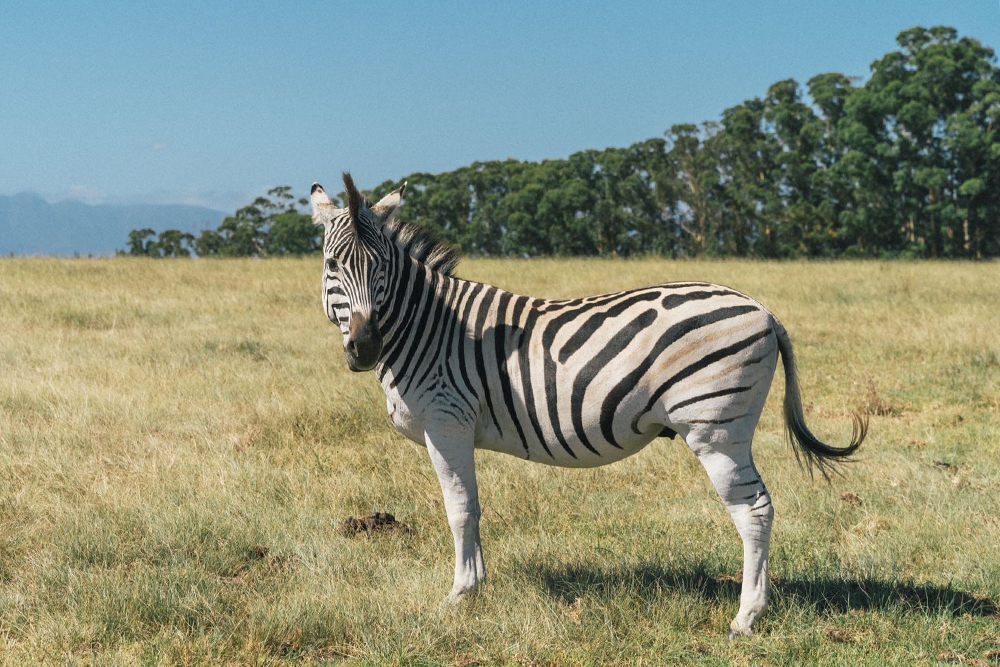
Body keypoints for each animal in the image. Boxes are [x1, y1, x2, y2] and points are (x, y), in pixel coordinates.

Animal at [312, 175, 868, 640]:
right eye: (333, 265)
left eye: (382, 266)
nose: (363, 347)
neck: (428, 327)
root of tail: (764, 309)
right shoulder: (456, 427)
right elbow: (473, 506)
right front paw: (479, 584)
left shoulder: (447, 421)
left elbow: (460, 509)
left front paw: (460, 595)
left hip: (715, 430)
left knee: (754, 510)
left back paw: (746, 618)